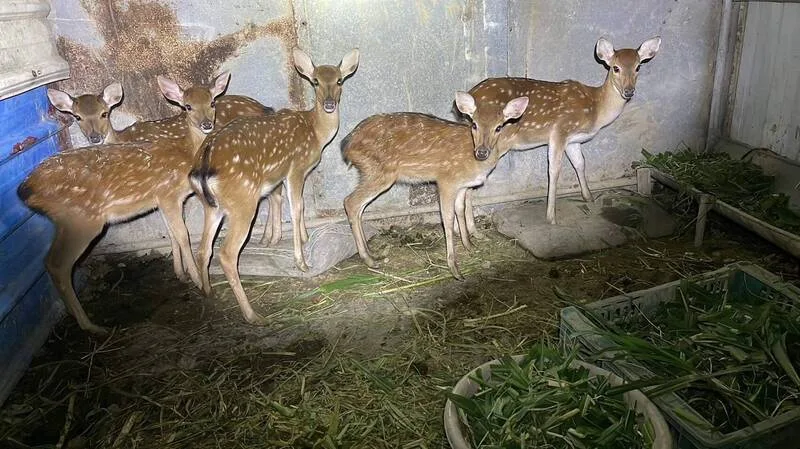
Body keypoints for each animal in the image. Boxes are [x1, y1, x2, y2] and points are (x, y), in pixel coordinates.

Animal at [17, 73, 237, 335]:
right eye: (187, 106)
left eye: (212, 102)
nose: (207, 124)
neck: (185, 154)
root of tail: (26, 189)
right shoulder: (168, 194)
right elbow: (182, 235)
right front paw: (198, 283)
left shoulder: (162, 200)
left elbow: (173, 233)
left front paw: (182, 275)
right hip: (82, 220)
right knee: (57, 264)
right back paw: (91, 325)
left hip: (69, 221)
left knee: (50, 263)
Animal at [190, 48, 359, 325]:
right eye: (315, 81)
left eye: (339, 80)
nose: (329, 104)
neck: (316, 133)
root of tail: (204, 161)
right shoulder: (295, 169)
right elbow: (297, 208)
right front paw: (302, 262)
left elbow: (299, 206)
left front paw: (304, 238)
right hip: (242, 202)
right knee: (226, 253)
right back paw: (252, 315)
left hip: (210, 206)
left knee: (204, 250)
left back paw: (208, 295)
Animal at [343, 95, 528, 280]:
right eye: (474, 124)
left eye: (499, 127)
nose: (482, 152)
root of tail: (347, 145)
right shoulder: (446, 180)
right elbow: (447, 219)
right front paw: (454, 269)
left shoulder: (462, 186)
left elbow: (460, 210)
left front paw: (470, 246)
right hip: (379, 171)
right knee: (350, 202)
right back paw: (369, 259)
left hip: (370, 172)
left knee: (359, 207)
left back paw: (372, 253)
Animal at [462, 36, 661, 225]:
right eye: (615, 68)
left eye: (638, 67)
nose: (629, 91)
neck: (596, 109)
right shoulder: (560, 130)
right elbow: (554, 170)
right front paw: (551, 216)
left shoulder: (573, 140)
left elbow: (580, 163)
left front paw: (589, 197)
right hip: (497, 143)